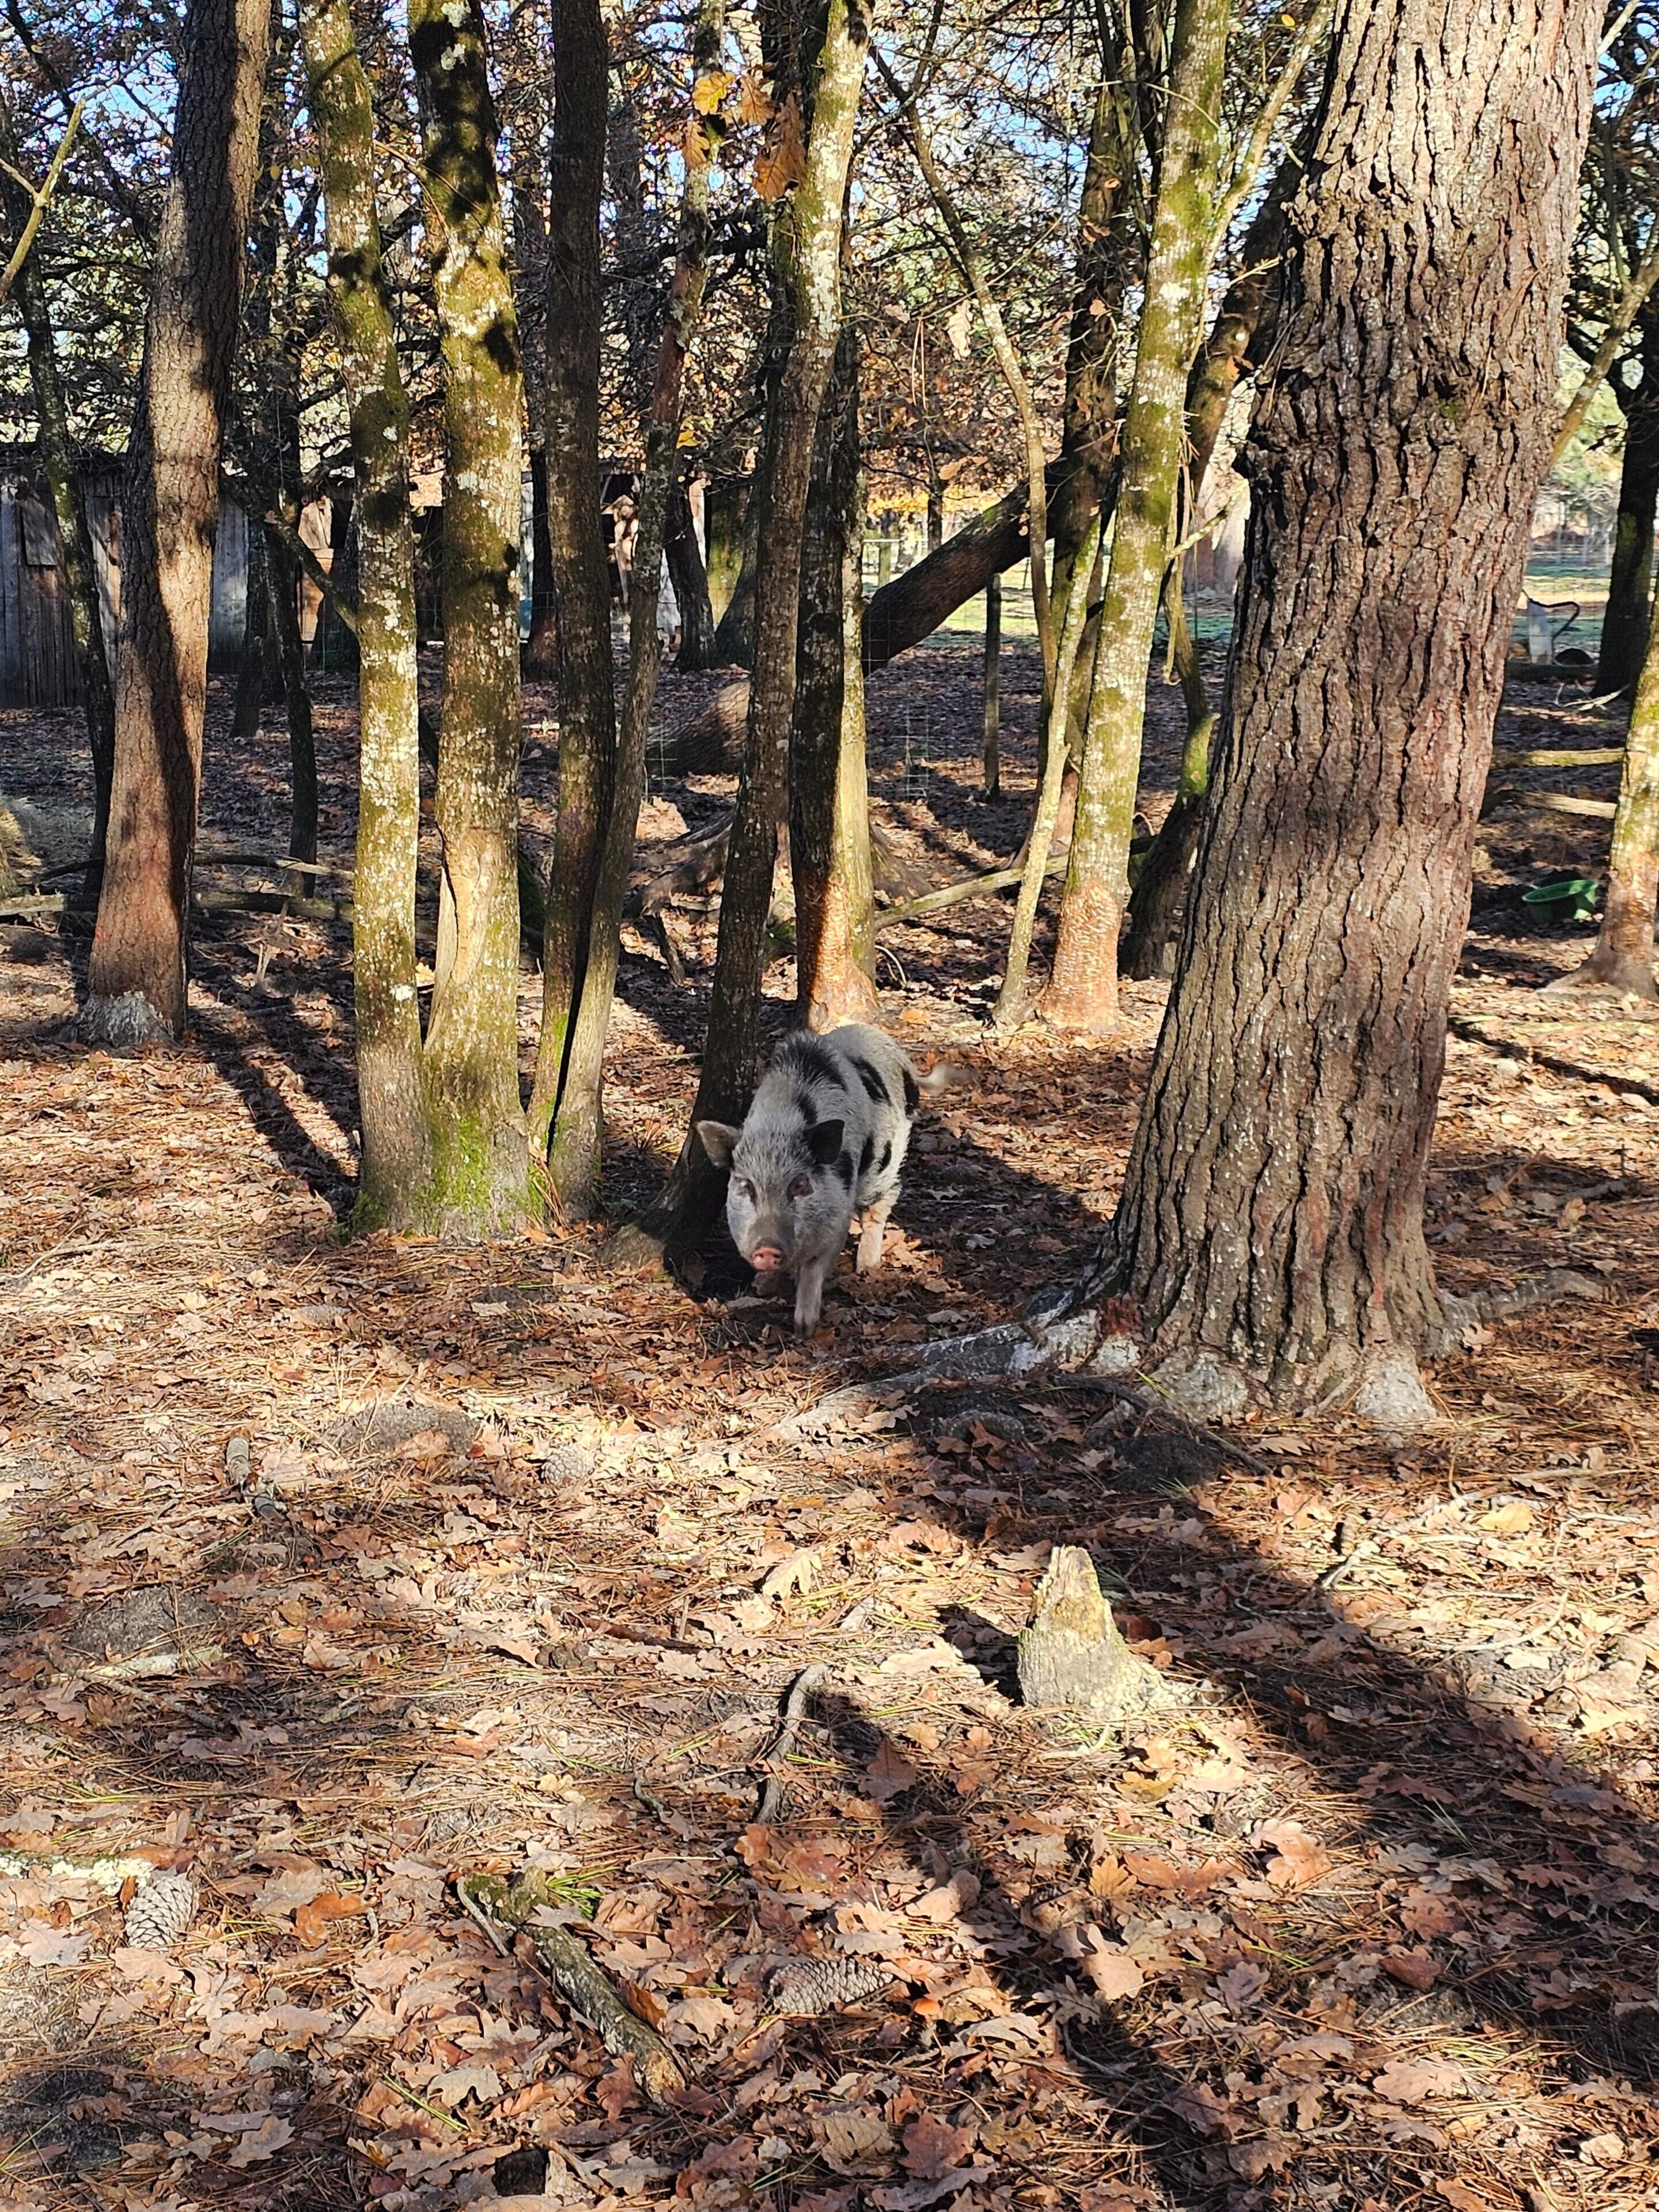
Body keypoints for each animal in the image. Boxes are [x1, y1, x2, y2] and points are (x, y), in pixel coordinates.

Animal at [697, 1024, 952, 1334]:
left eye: (799, 1185)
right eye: (747, 1187)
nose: (767, 1248)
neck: (780, 1128)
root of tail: (900, 1057)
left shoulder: (838, 1217)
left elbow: (814, 1268)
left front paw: (804, 1328)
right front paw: (763, 1286)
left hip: (887, 1163)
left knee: (880, 1206)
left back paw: (867, 1268)